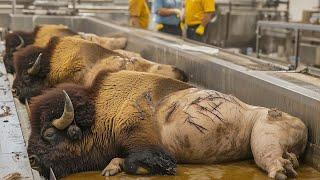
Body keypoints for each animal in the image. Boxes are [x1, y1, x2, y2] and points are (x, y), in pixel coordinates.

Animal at [27, 70, 308, 179]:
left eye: (48, 133)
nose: (31, 160)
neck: (105, 110)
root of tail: (300, 122)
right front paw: (110, 168)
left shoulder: (144, 142)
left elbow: (136, 161)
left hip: (264, 137)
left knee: (269, 159)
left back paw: (281, 170)